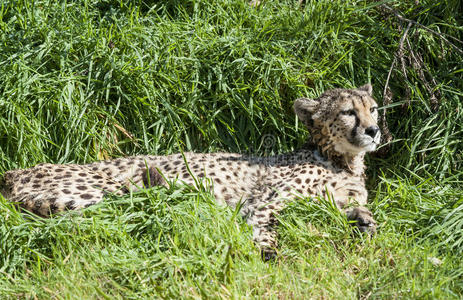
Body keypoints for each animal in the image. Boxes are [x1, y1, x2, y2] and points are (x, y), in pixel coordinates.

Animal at [0, 84, 380, 255]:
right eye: (348, 112)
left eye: (373, 108)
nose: (375, 130)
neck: (341, 160)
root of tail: (11, 174)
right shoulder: (264, 202)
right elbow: (265, 226)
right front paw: (268, 253)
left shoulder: (336, 199)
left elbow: (356, 210)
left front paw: (366, 223)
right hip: (114, 190)